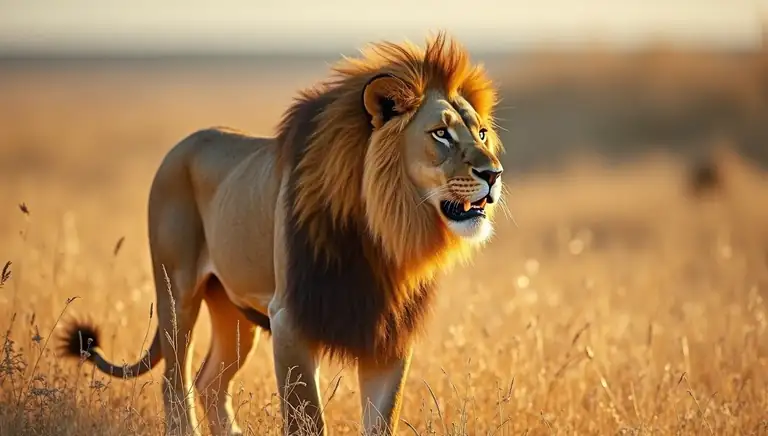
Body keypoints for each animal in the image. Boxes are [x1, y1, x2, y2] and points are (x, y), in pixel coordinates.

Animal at [58, 32, 505, 436]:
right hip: (176, 293)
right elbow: (307, 419)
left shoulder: (387, 333)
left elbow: (381, 421)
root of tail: (182, 144)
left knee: (210, 381)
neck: (384, 235)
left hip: (235, 312)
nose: (494, 174)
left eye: (482, 133)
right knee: (175, 381)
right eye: (441, 134)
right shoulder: (290, 320)